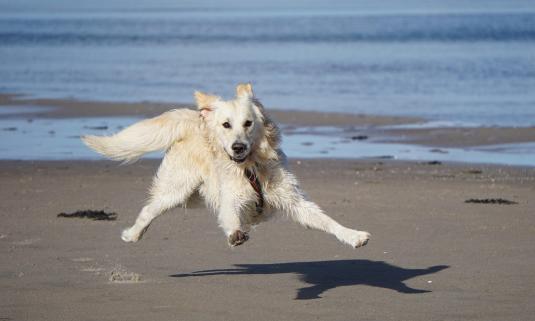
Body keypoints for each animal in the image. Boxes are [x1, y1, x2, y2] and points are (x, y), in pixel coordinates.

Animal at [84, 83, 370, 248]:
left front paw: (353, 235)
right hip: (176, 190)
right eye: (226, 125)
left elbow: (326, 220)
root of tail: (195, 120)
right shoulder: (230, 197)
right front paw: (235, 233)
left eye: (248, 123)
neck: (251, 168)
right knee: (148, 210)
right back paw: (132, 234)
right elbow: (231, 216)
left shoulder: (294, 200)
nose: (238, 147)